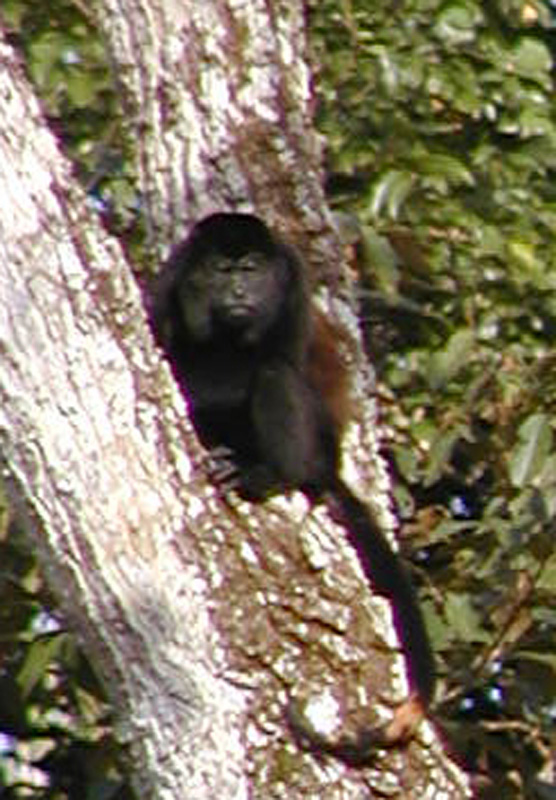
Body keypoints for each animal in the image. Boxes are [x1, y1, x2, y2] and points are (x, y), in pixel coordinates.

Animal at [150, 212, 435, 764]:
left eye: (253, 269)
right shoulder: (168, 286)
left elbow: (261, 365)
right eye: (222, 270)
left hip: (314, 447)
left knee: (274, 374)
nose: (239, 290)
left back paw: (265, 472)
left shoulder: (295, 284)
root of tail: (331, 464)